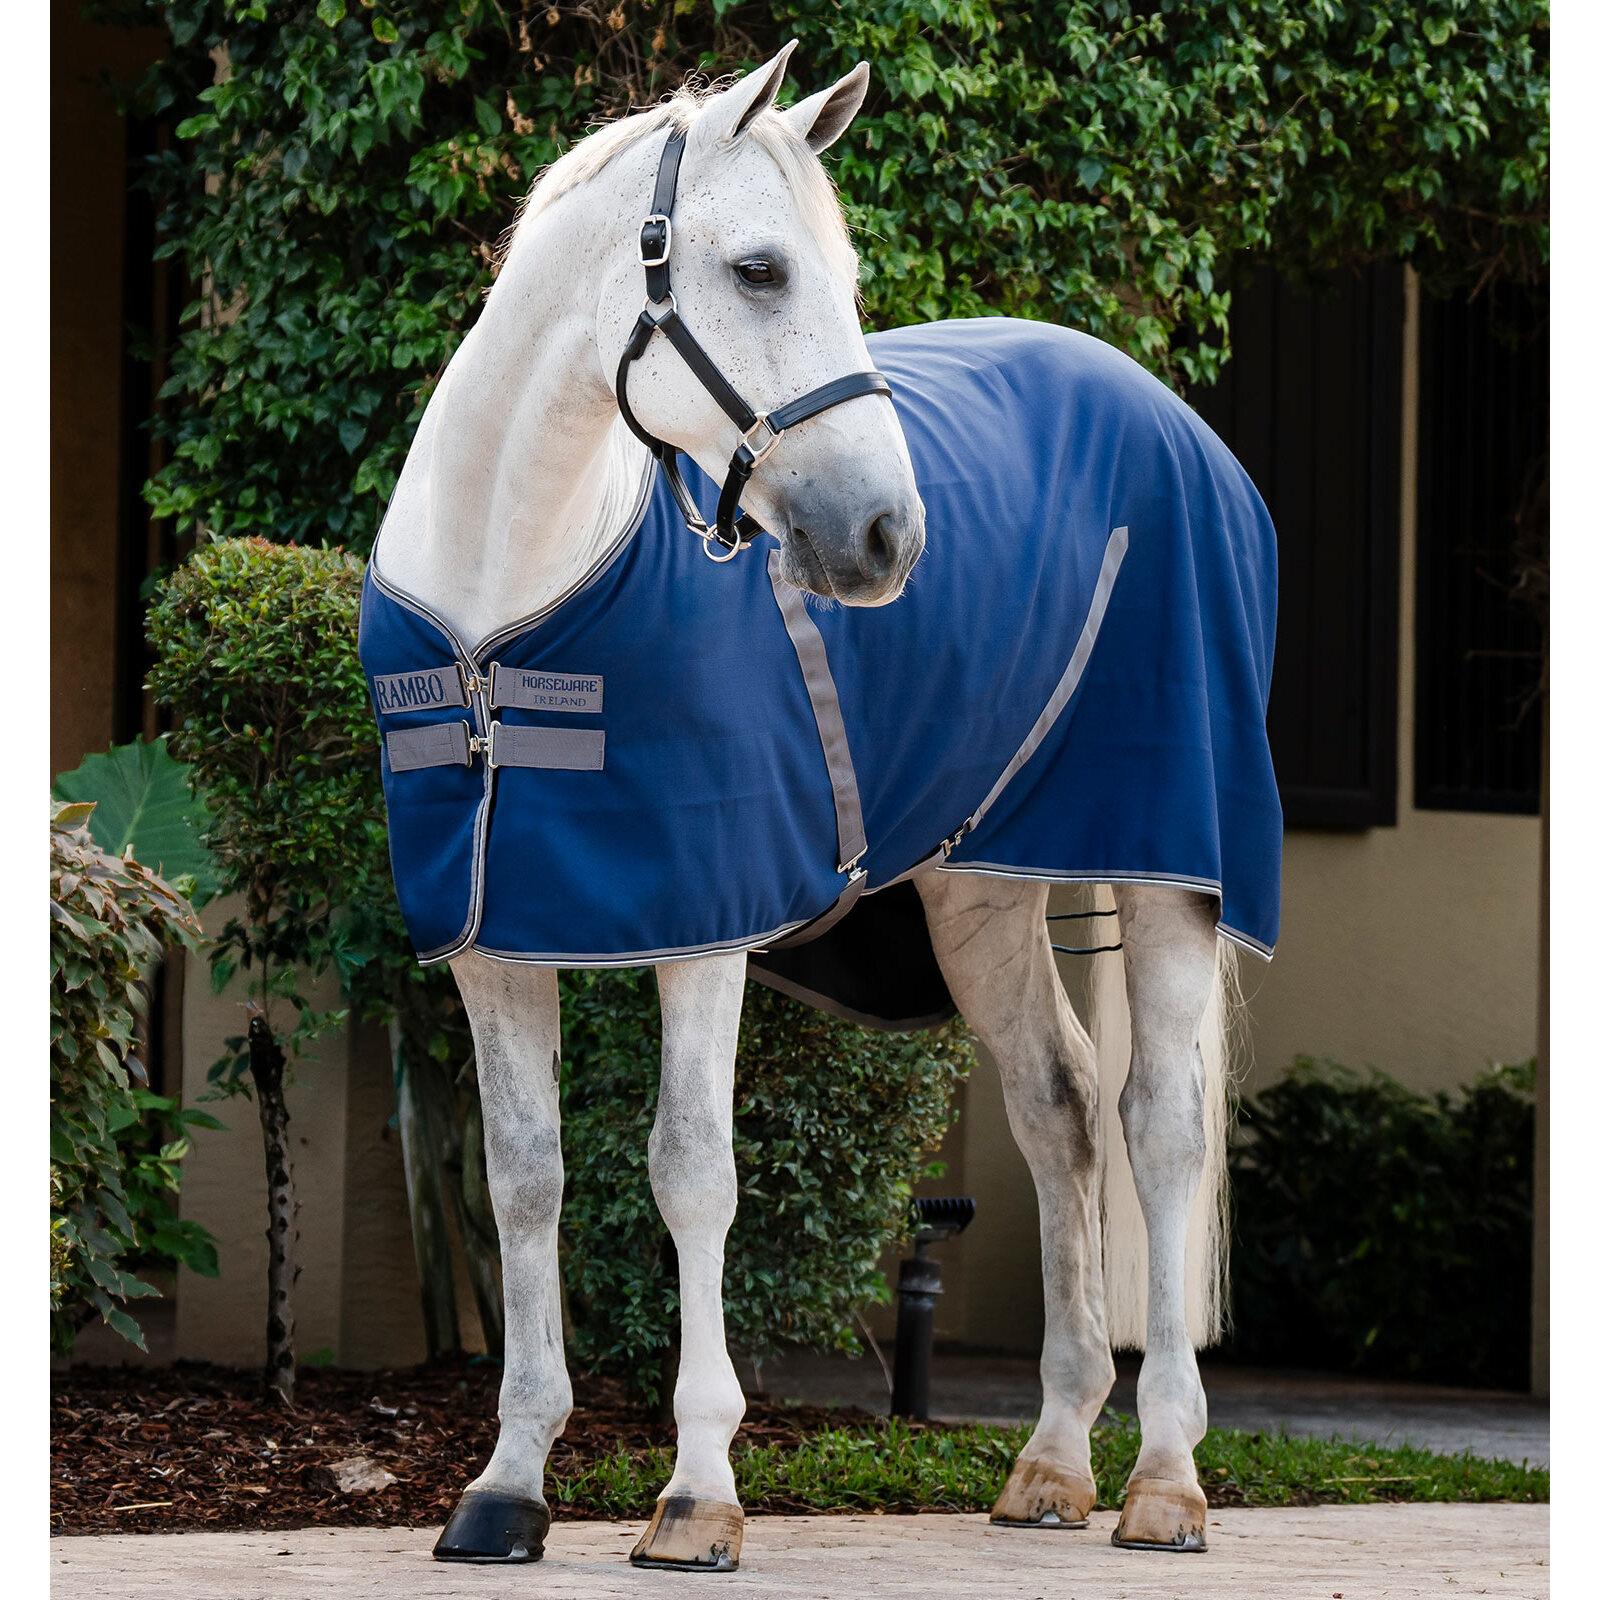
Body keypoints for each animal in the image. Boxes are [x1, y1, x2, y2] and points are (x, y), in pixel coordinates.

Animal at [362, 44, 1279, 1569]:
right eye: (759, 269)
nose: (888, 539)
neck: (511, 605)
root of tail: (1174, 418)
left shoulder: (701, 929)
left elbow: (690, 1171)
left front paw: (695, 1493)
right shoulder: (494, 939)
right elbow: (523, 1179)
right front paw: (506, 1486)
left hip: (1171, 865)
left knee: (1156, 1126)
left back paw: (1162, 1479)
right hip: (981, 888)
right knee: (1058, 1108)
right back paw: (1048, 1462)